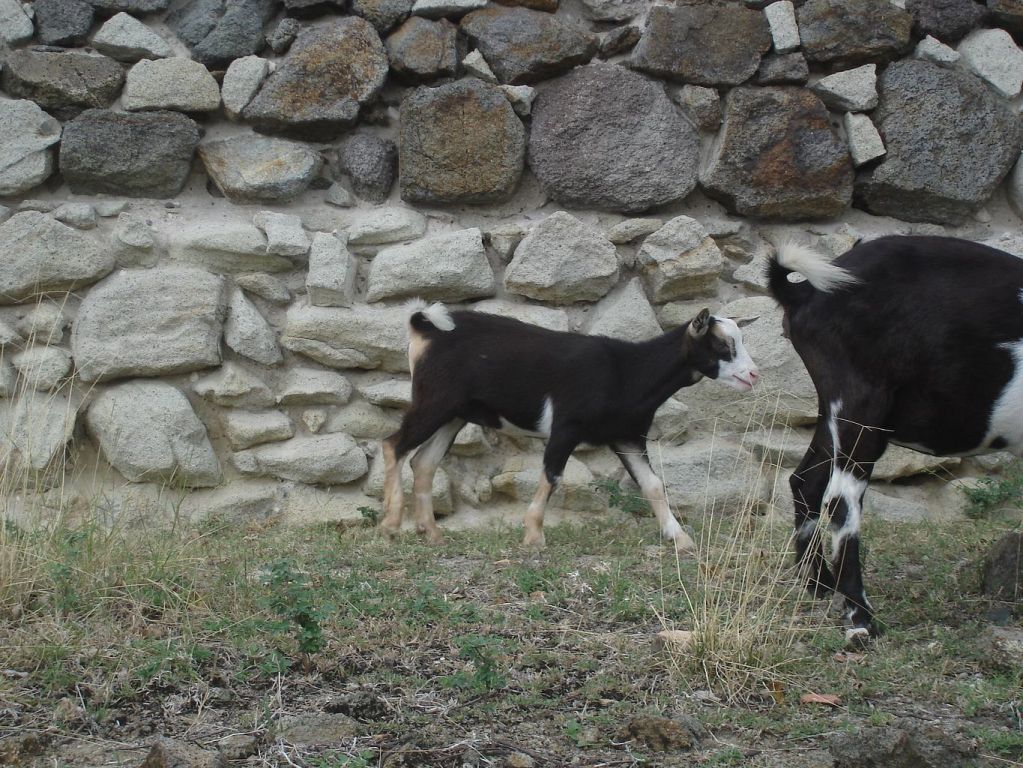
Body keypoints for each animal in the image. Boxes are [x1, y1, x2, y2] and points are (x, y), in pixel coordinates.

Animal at [380, 304, 757, 552]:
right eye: (722, 345)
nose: (753, 374)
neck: (627, 370)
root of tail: (425, 327)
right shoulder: (566, 427)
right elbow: (552, 476)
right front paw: (534, 537)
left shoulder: (627, 436)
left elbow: (653, 485)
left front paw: (681, 539)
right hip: (435, 401)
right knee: (393, 444)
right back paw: (391, 526)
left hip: (454, 414)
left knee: (423, 462)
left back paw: (431, 534)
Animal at [769, 237, 1023, 646]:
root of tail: (807, 292)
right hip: (862, 404)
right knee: (840, 502)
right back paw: (860, 618)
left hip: (835, 411)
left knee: (806, 481)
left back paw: (820, 585)